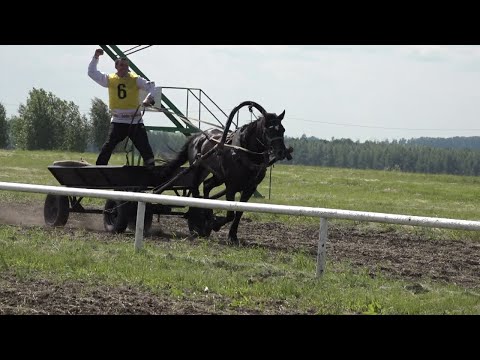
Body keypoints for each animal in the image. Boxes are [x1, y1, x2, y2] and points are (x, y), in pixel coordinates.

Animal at [162, 101, 292, 245]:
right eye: (268, 129)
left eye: (282, 129)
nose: (281, 152)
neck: (244, 153)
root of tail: (197, 137)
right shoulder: (231, 186)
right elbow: (230, 214)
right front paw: (214, 225)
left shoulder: (250, 188)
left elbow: (239, 213)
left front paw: (232, 236)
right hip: (198, 168)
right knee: (196, 189)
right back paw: (201, 219)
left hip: (217, 175)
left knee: (207, 186)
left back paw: (208, 217)